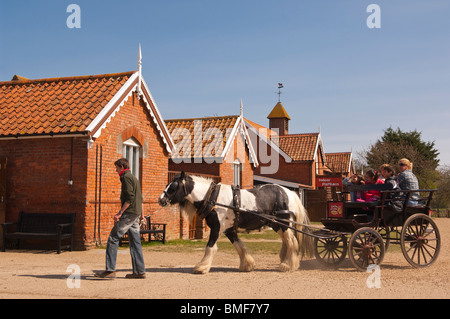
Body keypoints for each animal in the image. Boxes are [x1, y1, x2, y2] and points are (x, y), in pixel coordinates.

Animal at [158, 172, 312, 276]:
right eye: (167, 185)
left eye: (173, 187)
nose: (160, 200)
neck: (213, 198)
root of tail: (289, 192)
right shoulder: (230, 230)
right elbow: (240, 246)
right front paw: (247, 265)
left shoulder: (216, 228)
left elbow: (210, 247)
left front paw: (201, 267)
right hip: (276, 225)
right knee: (287, 242)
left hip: (283, 224)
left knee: (292, 242)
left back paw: (288, 265)